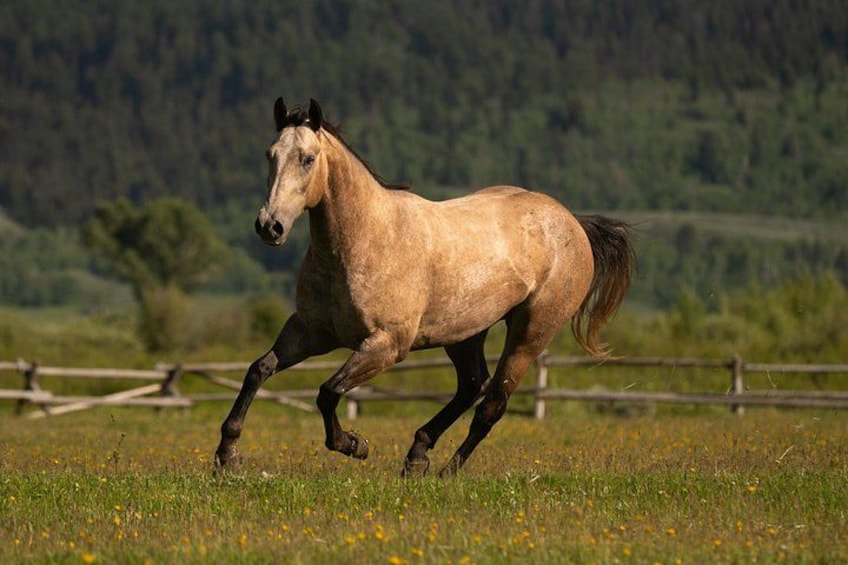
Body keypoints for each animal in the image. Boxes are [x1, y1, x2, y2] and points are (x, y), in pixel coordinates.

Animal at [215, 98, 636, 477]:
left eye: (307, 158)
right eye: (270, 154)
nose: (269, 226)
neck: (365, 240)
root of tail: (572, 222)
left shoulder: (386, 345)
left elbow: (328, 392)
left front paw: (354, 444)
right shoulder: (311, 332)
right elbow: (259, 370)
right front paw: (227, 456)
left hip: (531, 331)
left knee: (492, 402)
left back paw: (447, 472)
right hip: (466, 332)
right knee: (471, 385)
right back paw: (417, 456)